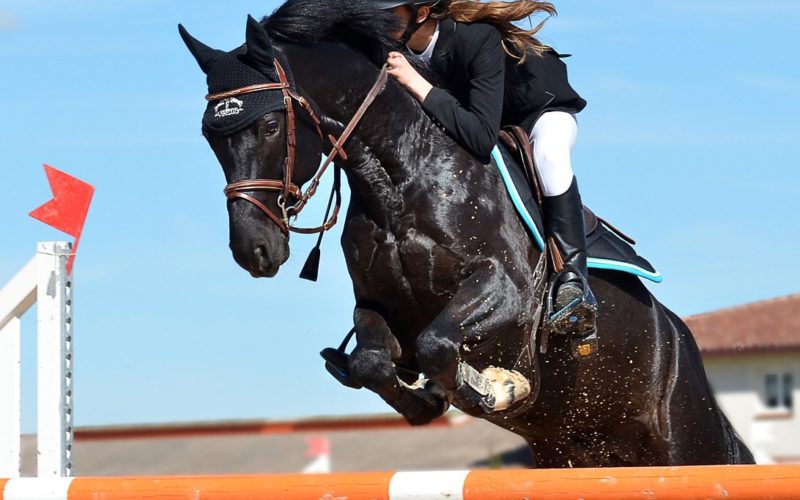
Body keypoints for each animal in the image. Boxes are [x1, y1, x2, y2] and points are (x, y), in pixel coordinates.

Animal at [180, 0, 752, 468]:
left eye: (271, 126)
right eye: (209, 135)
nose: (253, 250)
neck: (400, 179)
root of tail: (680, 341)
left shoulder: (507, 292)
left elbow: (439, 344)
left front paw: (496, 388)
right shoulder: (379, 305)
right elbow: (371, 360)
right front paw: (423, 399)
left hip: (684, 443)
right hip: (572, 453)